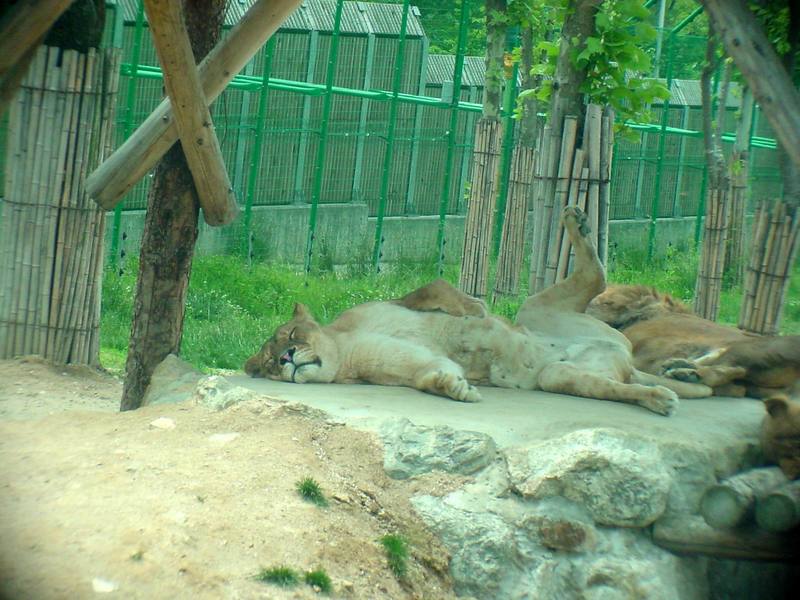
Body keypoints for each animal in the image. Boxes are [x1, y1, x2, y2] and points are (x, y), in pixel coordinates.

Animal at [245, 209, 712, 414]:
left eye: (291, 336)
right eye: (268, 365)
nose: (286, 358)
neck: (344, 347)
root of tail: (624, 359)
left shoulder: (388, 304)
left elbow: (432, 287)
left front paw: (474, 307)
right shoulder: (404, 368)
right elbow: (431, 376)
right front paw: (457, 389)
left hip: (535, 309)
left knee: (596, 276)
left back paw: (577, 221)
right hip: (558, 373)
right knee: (615, 383)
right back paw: (660, 395)